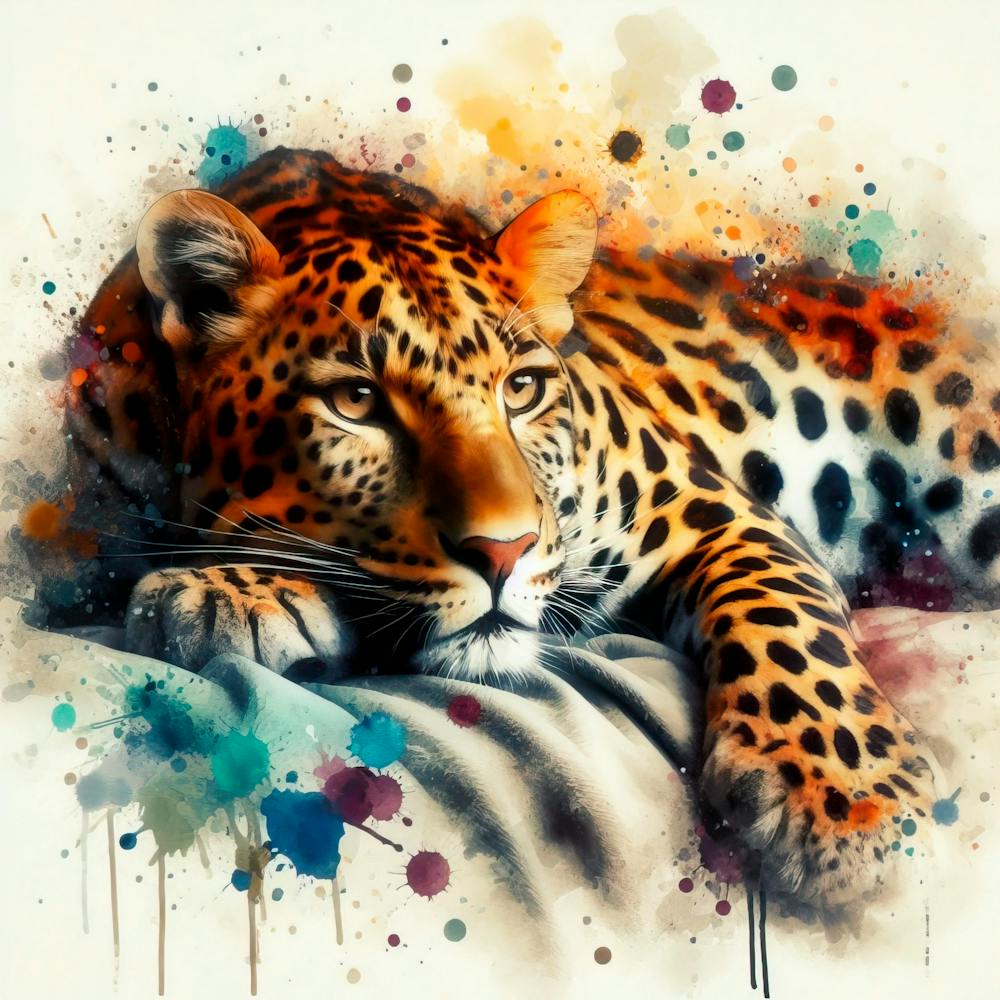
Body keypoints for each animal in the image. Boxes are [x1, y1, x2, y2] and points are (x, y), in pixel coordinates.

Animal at [22, 147, 1000, 916]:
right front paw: (228, 589)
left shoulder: (707, 510)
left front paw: (847, 803)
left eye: (522, 389)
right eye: (356, 402)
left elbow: (785, 618)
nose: (503, 551)